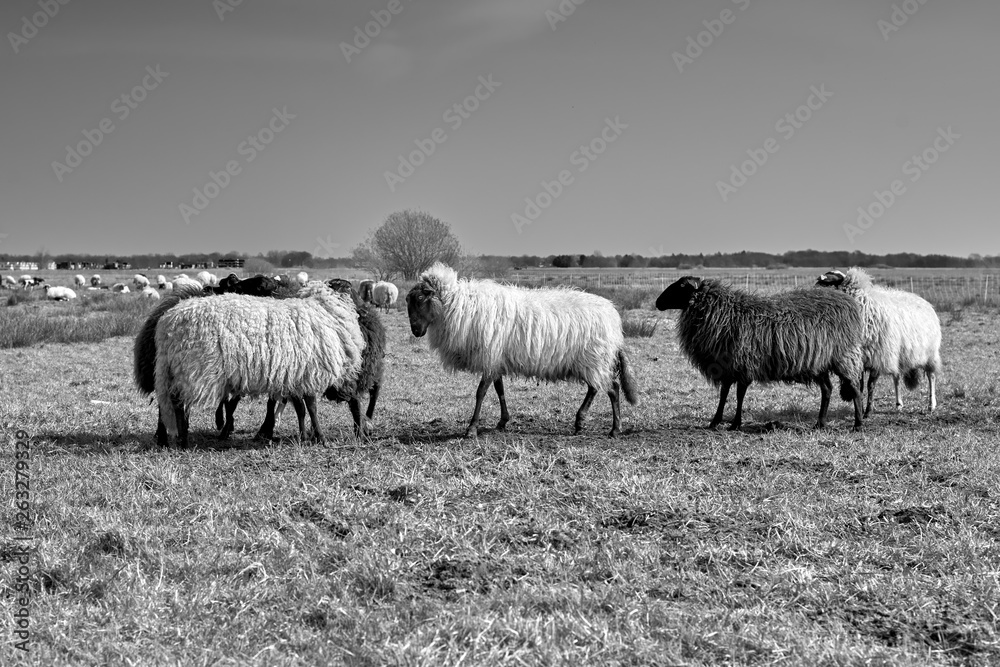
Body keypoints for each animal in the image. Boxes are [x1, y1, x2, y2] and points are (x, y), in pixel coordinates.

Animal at [151, 282, 365, 447]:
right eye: (349, 288)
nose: (365, 308)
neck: (326, 312)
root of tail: (166, 324)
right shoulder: (309, 372)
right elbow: (312, 408)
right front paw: (319, 437)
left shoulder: (295, 375)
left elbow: (301, 409)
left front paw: (305, 436)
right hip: (191, 368)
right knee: (179, 403)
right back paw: (183, 440)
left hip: (175, 368)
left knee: (172, 402)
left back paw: (176, 438)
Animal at [406, 262, 638, 438]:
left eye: (420, 299)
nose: (416, 331)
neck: (459, 305)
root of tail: (614, 318)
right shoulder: (496, 358)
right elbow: (499, 389)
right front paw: (502, 422)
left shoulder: (490, 355)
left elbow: (480, 392)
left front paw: (471, 429)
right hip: (593, 360)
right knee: (597, 387)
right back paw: (581, 422)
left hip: (595, 358)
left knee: (611, 388)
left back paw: (613, 429)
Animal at [655, 276, 865, 432]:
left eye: (681, 287)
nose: (657, 302)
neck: (724, 312)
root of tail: (849, 302)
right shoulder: (727, 365)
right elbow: (724, 394)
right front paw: (715, 421)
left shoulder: (742, 364)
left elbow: (739, 395)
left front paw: (735, 424)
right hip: (819, 361)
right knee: (827, 389)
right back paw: (820, 423)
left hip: (844, 355)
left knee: (854, 387)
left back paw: (858, 424)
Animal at [815, 268, 941, 415]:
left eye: (830, 281)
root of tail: (922, 300)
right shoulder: (861, 358)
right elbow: (860, 386)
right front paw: (860, 409)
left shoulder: (877, 356)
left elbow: (871, 385)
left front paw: (868, 411)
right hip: (897, 354)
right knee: (897, 378)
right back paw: (898, 404)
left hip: (930, 353)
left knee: (931, 376)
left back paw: (931, 405)